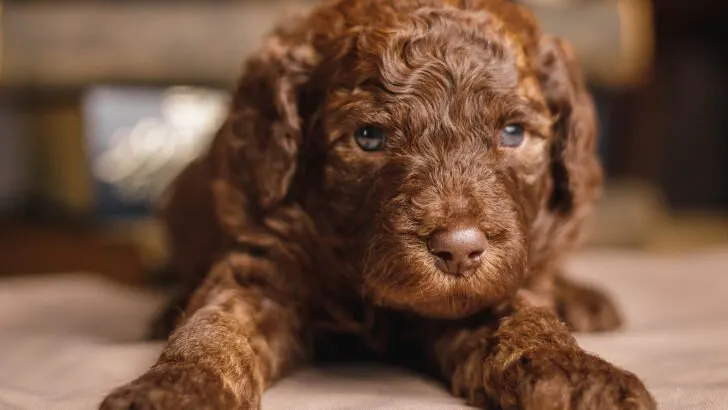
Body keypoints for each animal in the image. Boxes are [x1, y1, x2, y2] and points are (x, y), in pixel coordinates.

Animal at [101, 1, 656, 408]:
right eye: (369, 137)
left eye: (513, 132)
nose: (459, 250)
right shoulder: (264, 260)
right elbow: (213, 327)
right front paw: (173, 389)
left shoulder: (491, 287)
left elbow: (527, 321)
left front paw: (579, 376)